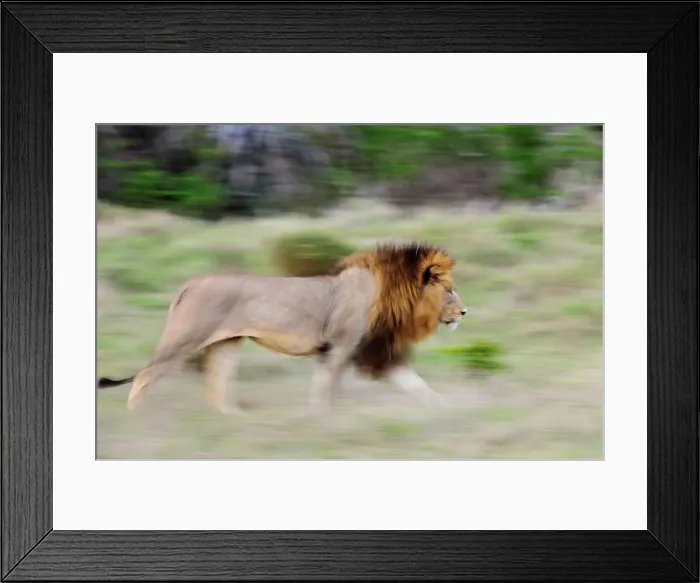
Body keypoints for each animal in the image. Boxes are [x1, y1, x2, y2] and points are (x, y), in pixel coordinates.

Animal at [97, 242, 467, 413]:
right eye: (449, 290)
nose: (464, 312)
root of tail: (190, 282)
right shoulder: (342, 346)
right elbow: (325, 387)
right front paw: (320, 417)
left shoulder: (373, 352)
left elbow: (417, 385)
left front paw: (446, 409)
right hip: (186, 338)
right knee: (146, 376)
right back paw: (138, 418)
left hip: (226, 343)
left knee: (216, 384)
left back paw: (232, 417)